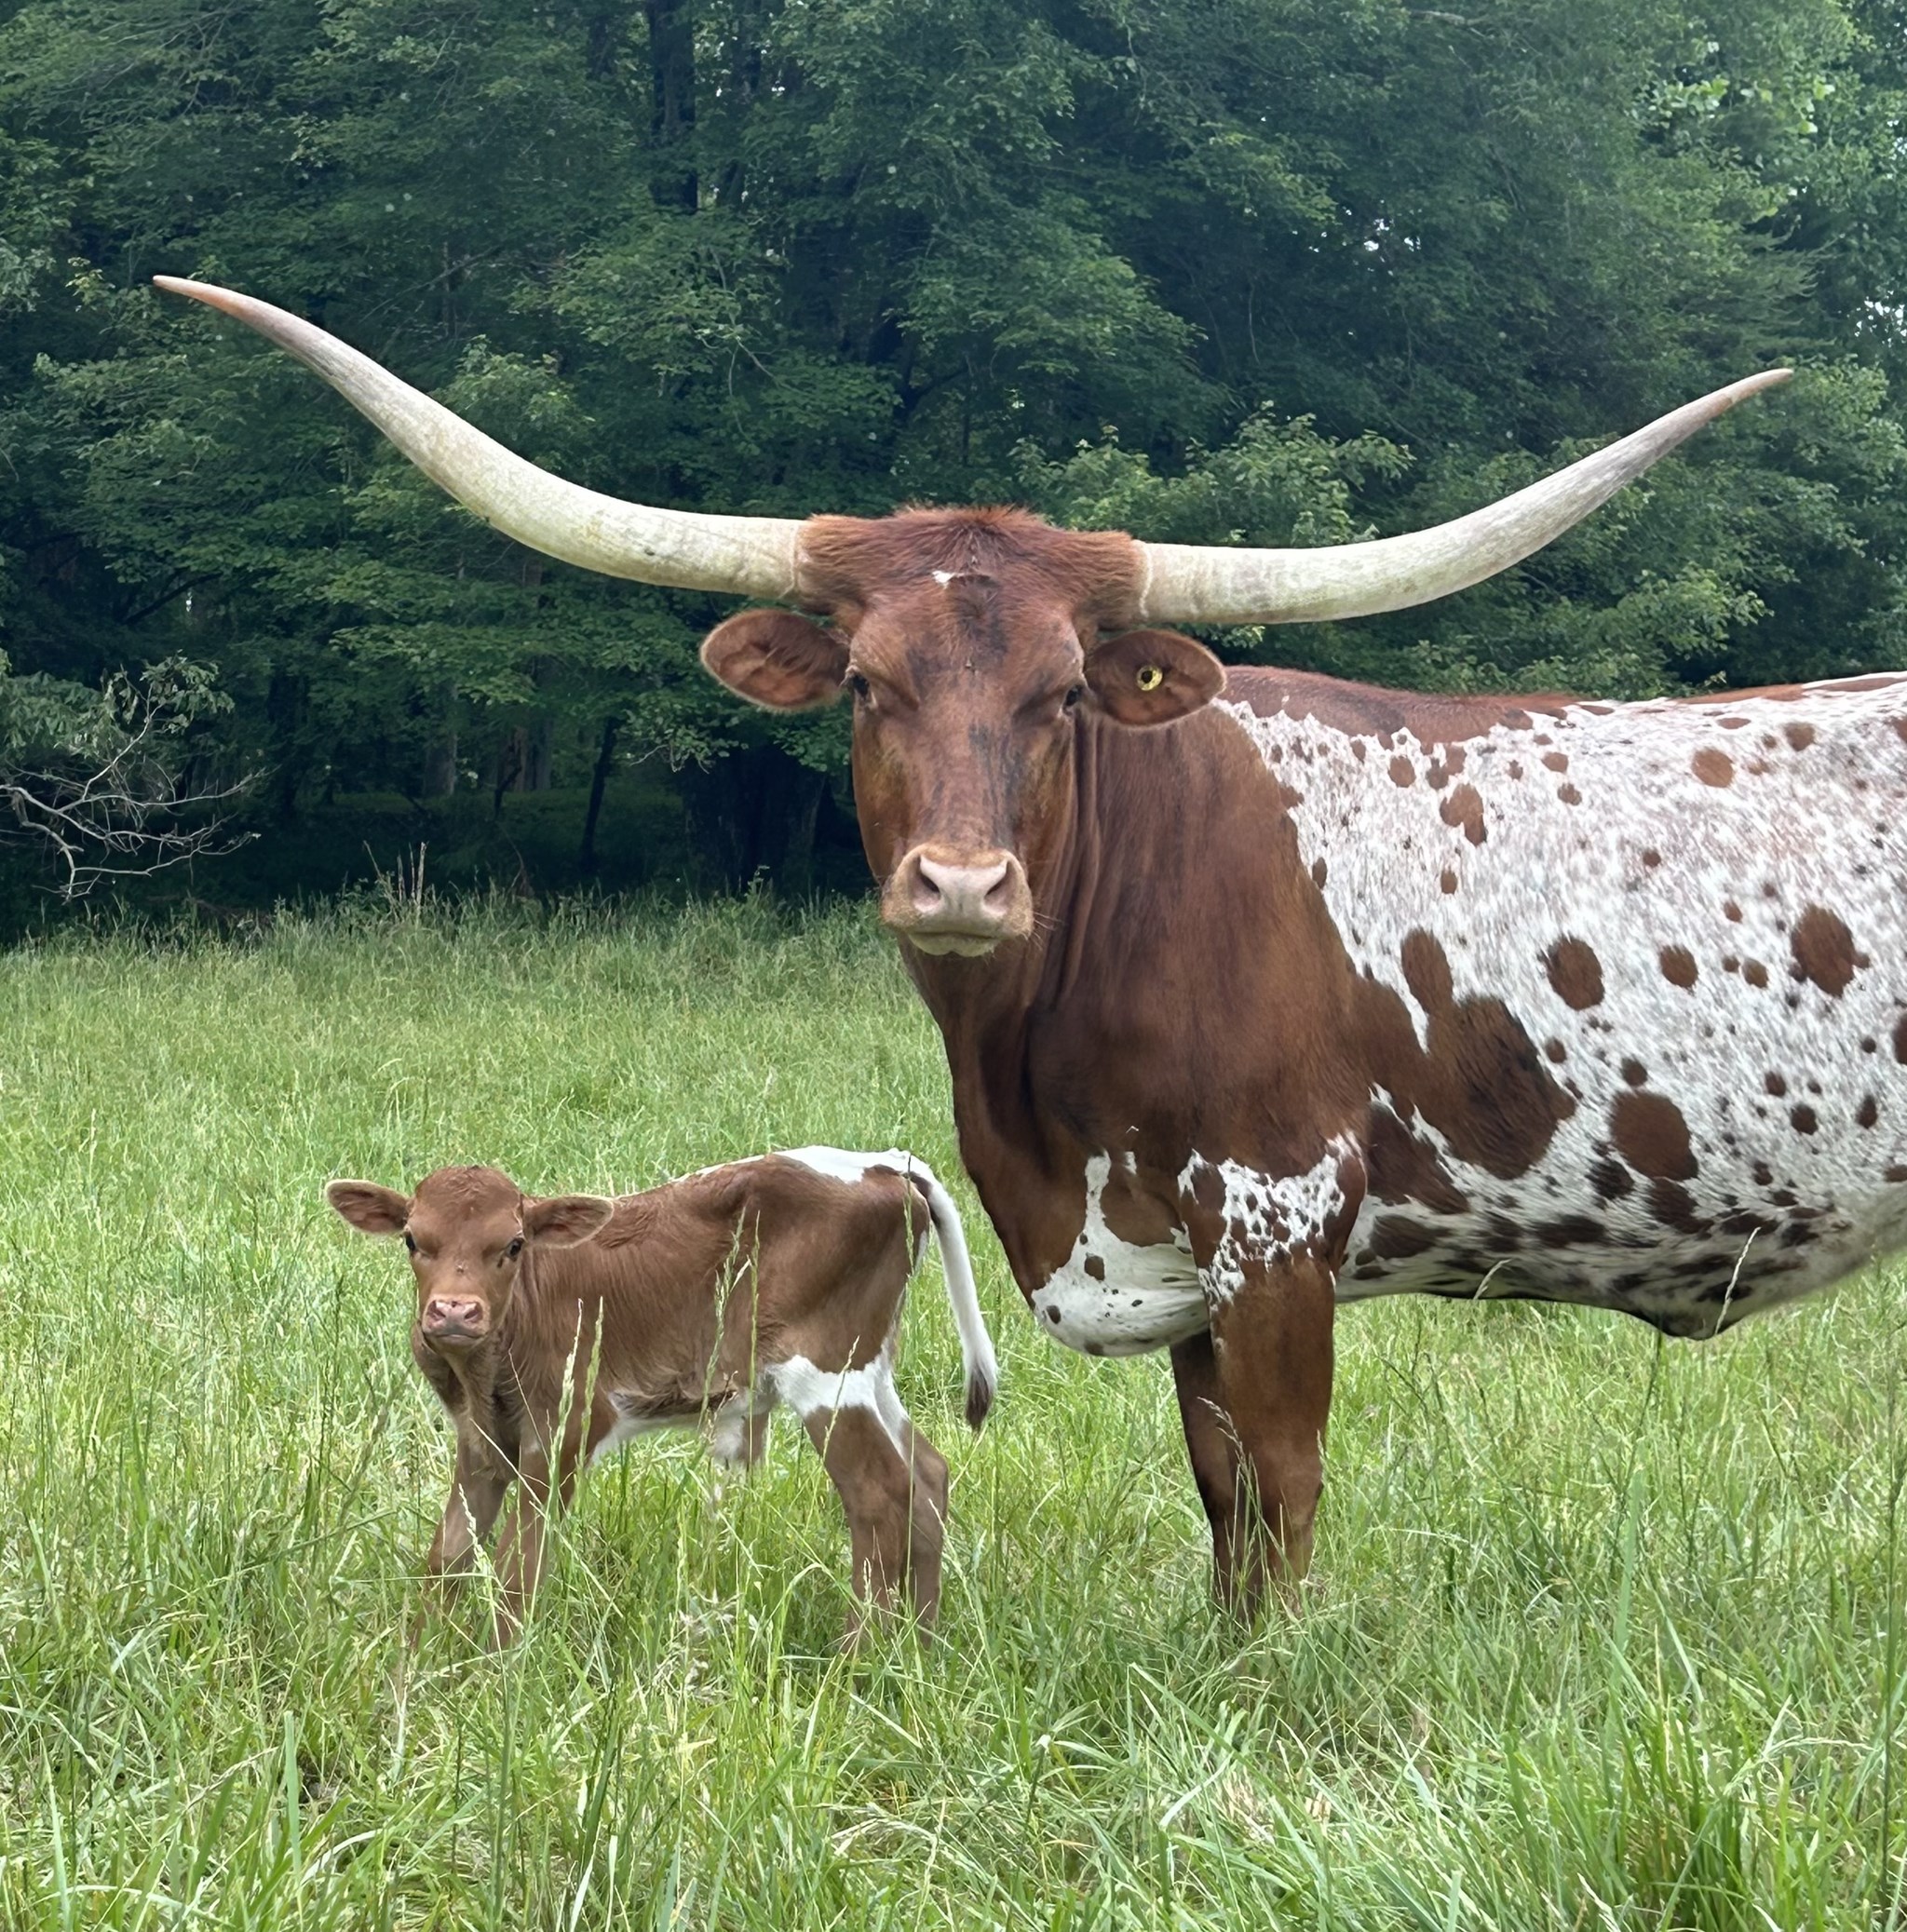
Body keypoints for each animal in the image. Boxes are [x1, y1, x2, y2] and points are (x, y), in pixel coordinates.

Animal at [325, 1148, 996, 1641]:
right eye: (413, 1239)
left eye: (513, 1244)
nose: (454, 1311)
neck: (484, 1374)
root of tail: (883, 1163)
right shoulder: (479, 1442)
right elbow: (447, 1557)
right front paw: (419, 1665)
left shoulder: (568, 1430)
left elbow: (520, 1564)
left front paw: (499, 1672)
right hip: (871, 1368)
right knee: (927, 1475)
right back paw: (921, 1643)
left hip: (827, 1372)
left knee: (879, 1495)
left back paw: (857, 1659)